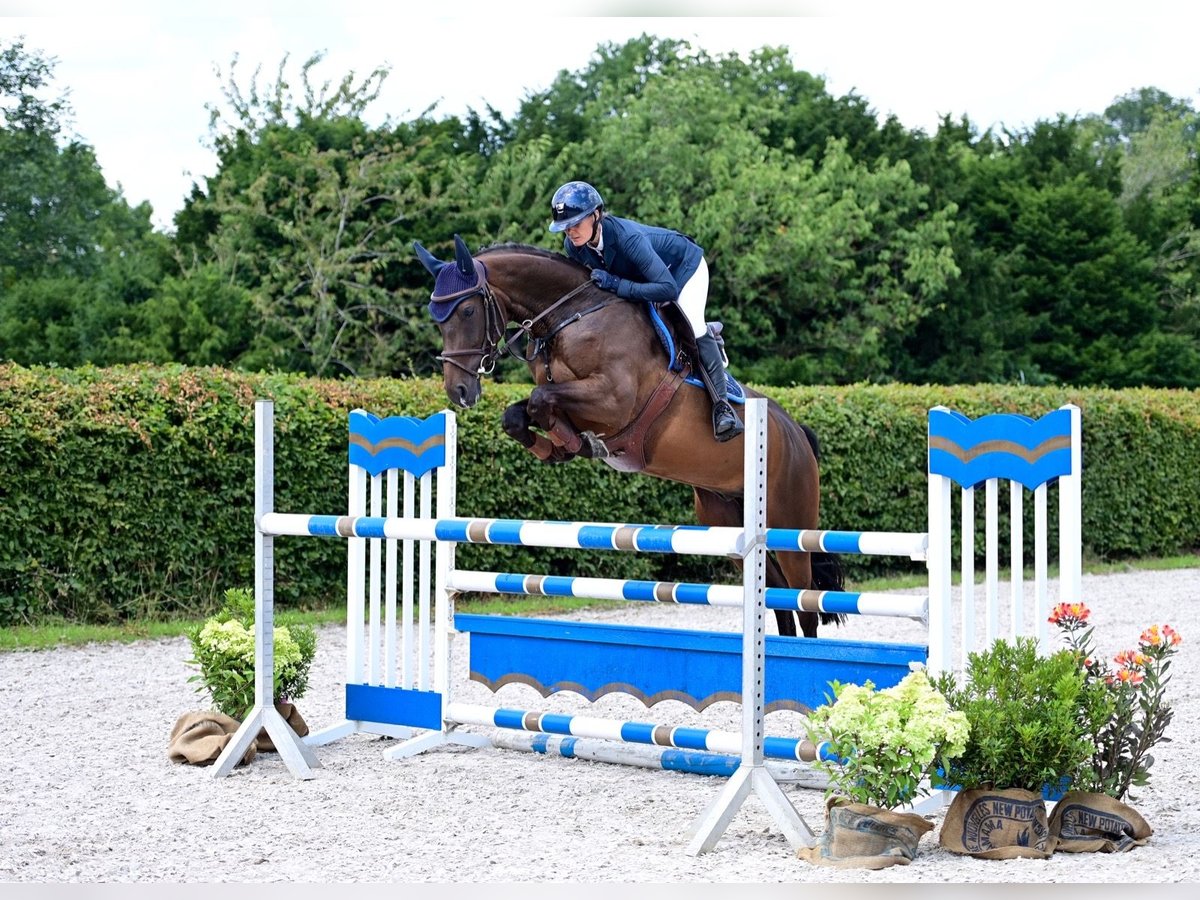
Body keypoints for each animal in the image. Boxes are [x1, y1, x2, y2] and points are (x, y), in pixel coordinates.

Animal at [412, 236, 844, 638]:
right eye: (437, 318)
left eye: (468, 310)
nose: (459, 392)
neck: (570, 317)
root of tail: (797, 433)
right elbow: (519, 413)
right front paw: (561, 447)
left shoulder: (613, 400)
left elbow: (540, 399)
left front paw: (580, 443)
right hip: (728, 520)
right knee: (776, 598)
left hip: (790, 521)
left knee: (804, 601)